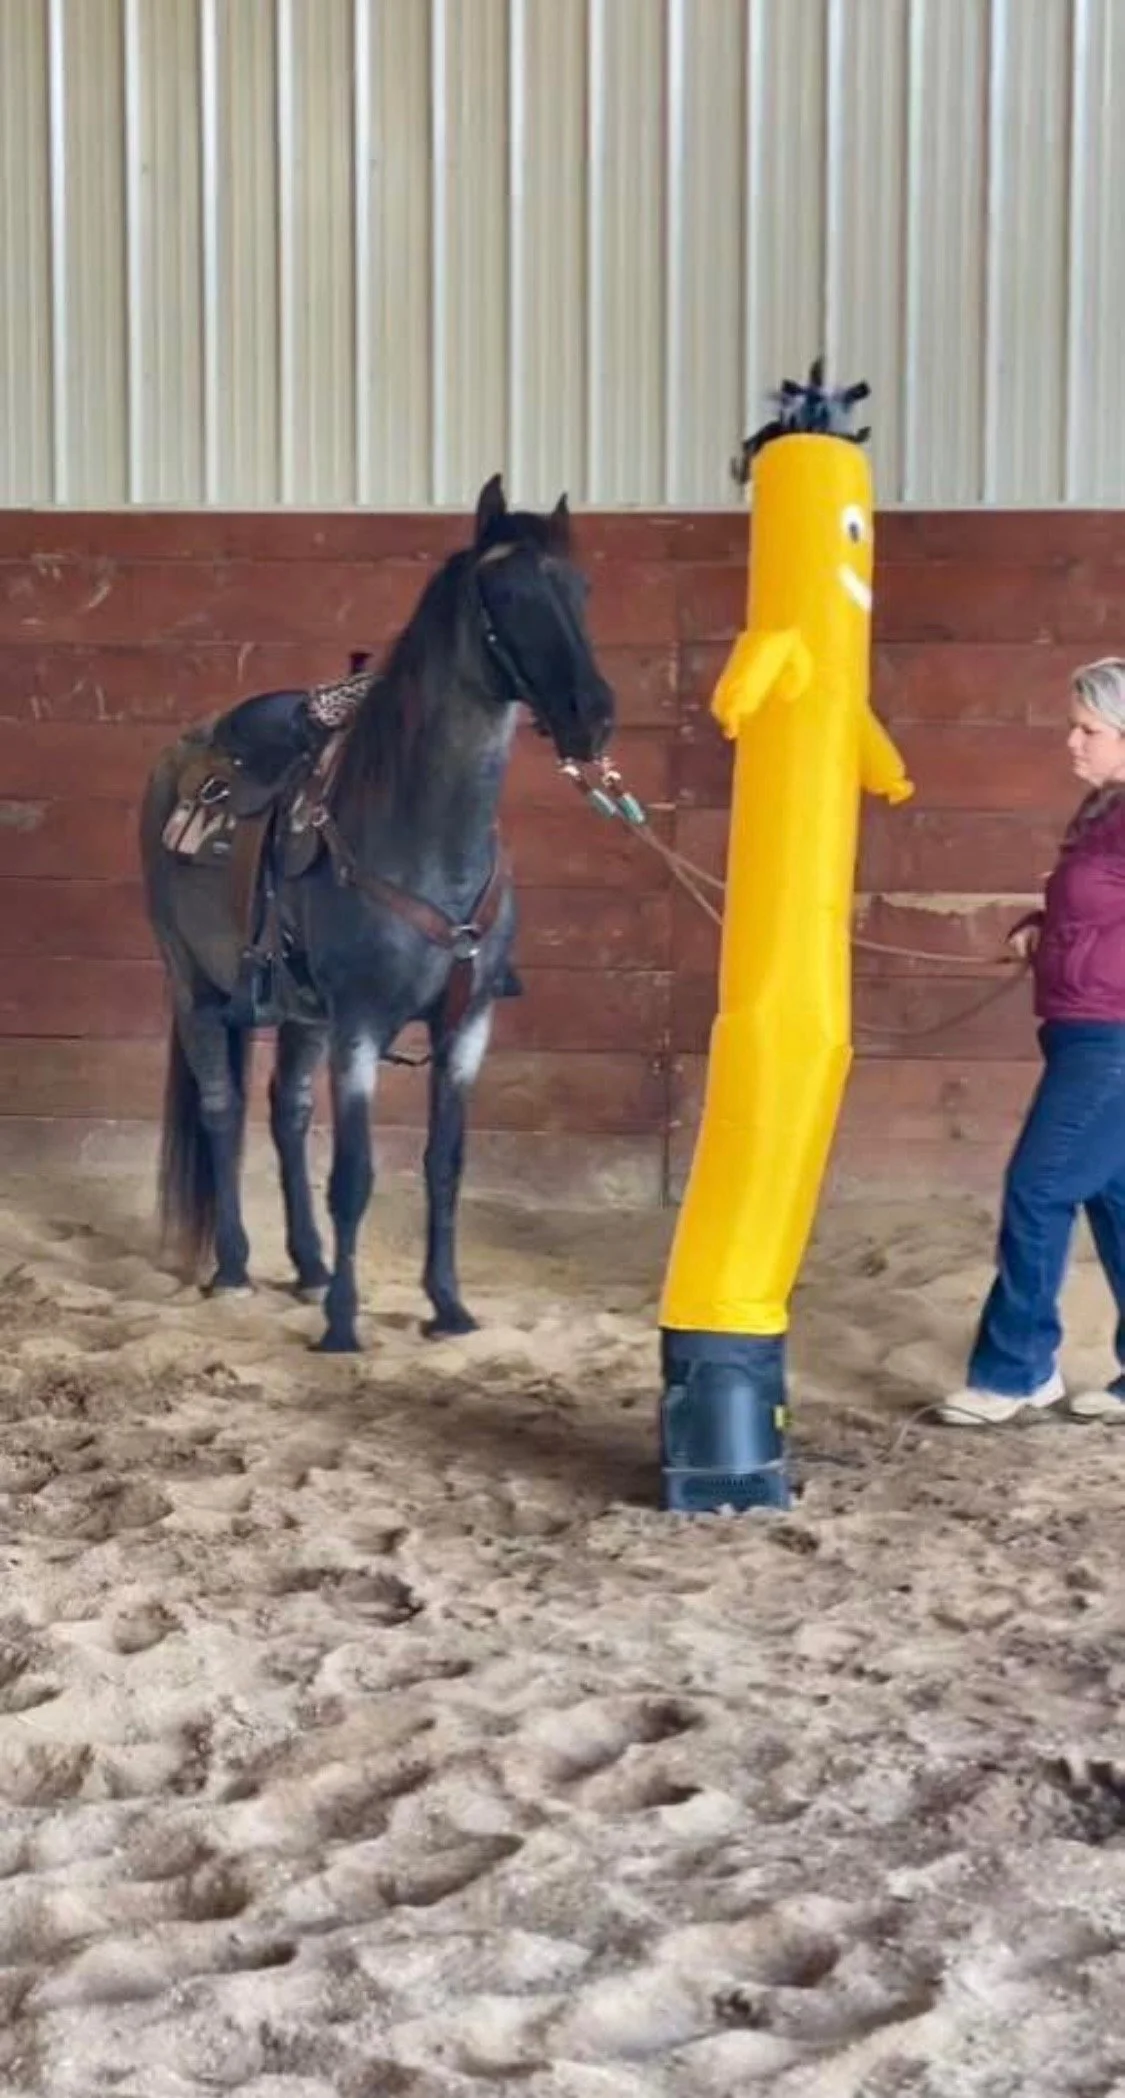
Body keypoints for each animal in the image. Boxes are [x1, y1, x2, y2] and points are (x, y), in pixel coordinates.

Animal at [139, 474, 616, 1353]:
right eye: (506, 592)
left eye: (580, 588)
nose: (591, 713)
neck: (423, 835)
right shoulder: (360, 1024)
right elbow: (354, 1174)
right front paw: (341, 1326)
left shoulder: (465, 1026)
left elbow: (443, 1164)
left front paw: (447, 1307)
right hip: (195, 987)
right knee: (223, 1108)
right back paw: (234, 1267)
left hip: (300, 1016)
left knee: (285, 1112)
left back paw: (308, 1264)